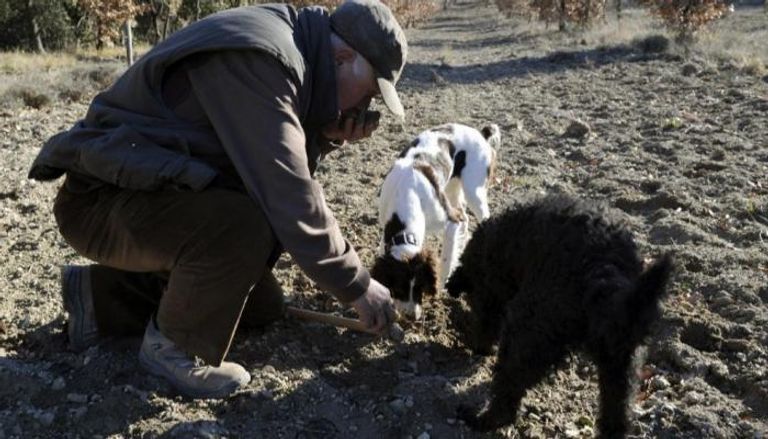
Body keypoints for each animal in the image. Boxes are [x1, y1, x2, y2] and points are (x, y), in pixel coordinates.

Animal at [370, 123, 500, 320]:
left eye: (420, 288)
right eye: (399, 288)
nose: (412, 317)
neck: (406, 194)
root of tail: (481, 133)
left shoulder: (451, 220)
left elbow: (445, 259)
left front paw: (441, 285)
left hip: (474, 191)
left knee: (480, 219)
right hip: (452, 187)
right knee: (465, 217)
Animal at [444, 194, 672, 438]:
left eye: (473, 298)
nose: (479, 349)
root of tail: (601, 272)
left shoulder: (491, 289)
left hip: (529, 329)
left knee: (507, 393)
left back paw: (477, 418)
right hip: (620, 362)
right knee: (617, 415)